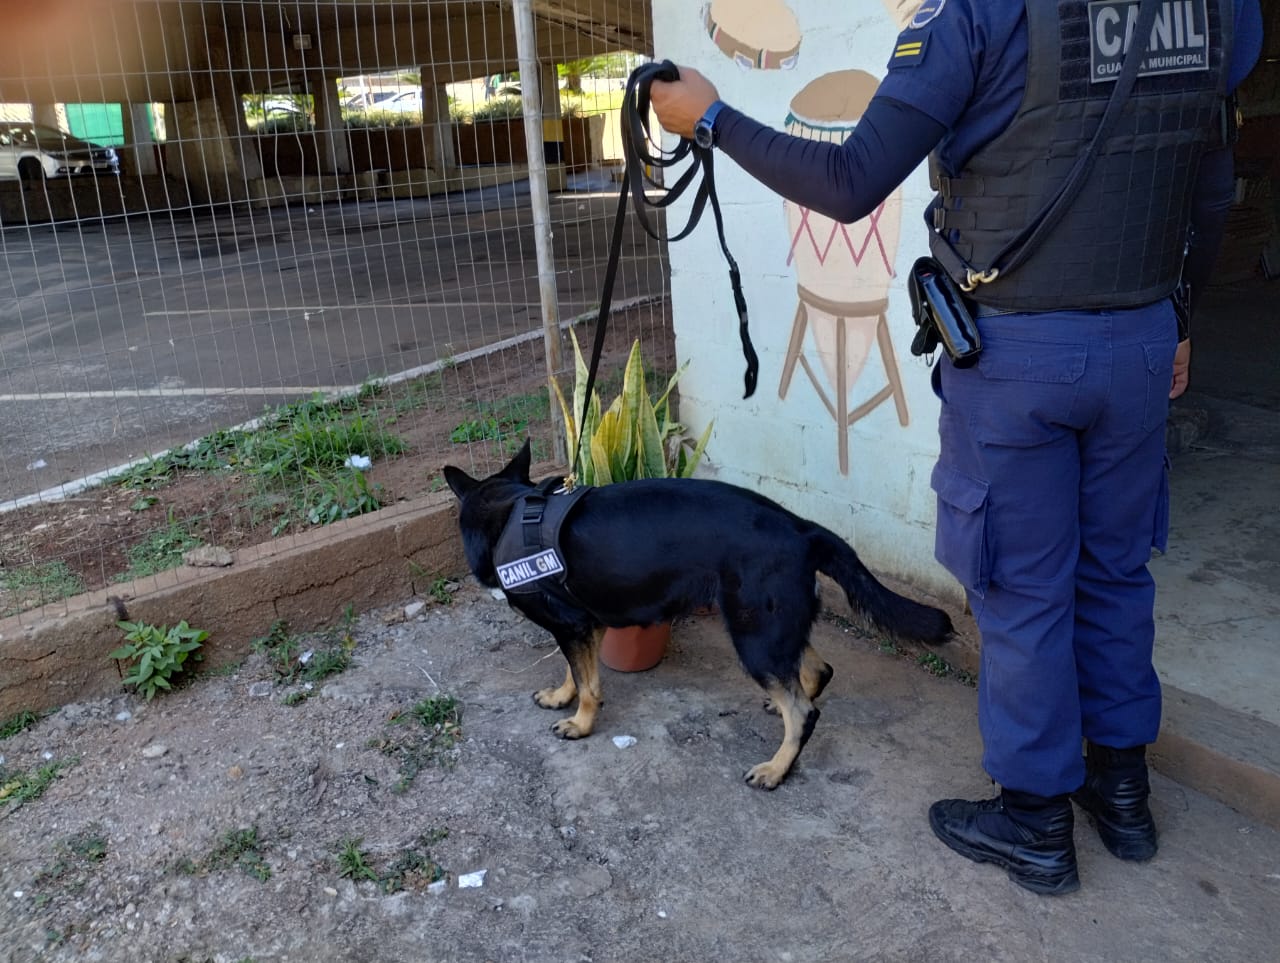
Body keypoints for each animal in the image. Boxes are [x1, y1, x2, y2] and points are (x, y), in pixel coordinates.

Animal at [442, 443, 952, 788]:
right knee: (816, 670)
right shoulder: (583, 626)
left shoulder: (573, 625)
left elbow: (588, 684)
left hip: (753, 636)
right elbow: (574, 670)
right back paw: (781, 708)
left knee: (805, 713)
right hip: (770, 629)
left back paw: (776, 768)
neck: (509, 512)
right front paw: (560, 695)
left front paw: (581, 723)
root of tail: (802, 528)